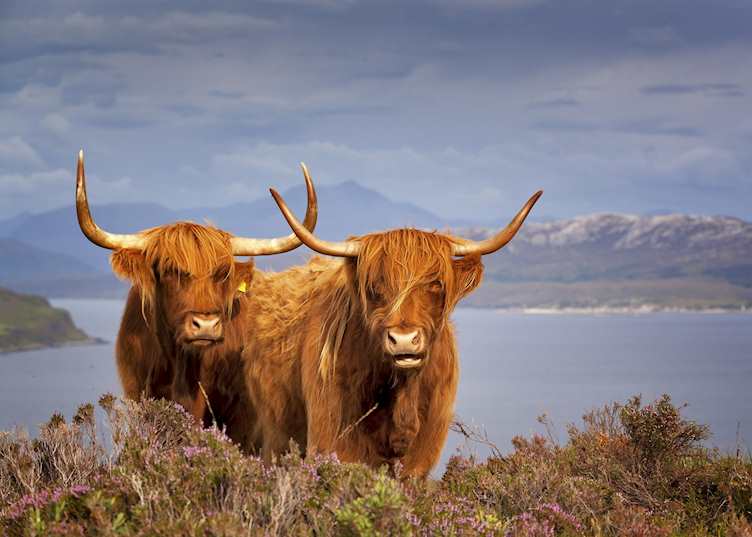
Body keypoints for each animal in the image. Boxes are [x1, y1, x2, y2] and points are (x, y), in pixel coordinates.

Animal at [243, 185, 541, 476]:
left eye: (435, 283)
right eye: (375, 285)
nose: (404, 340)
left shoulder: (421, 458)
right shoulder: (333, 441)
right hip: (275, 437)